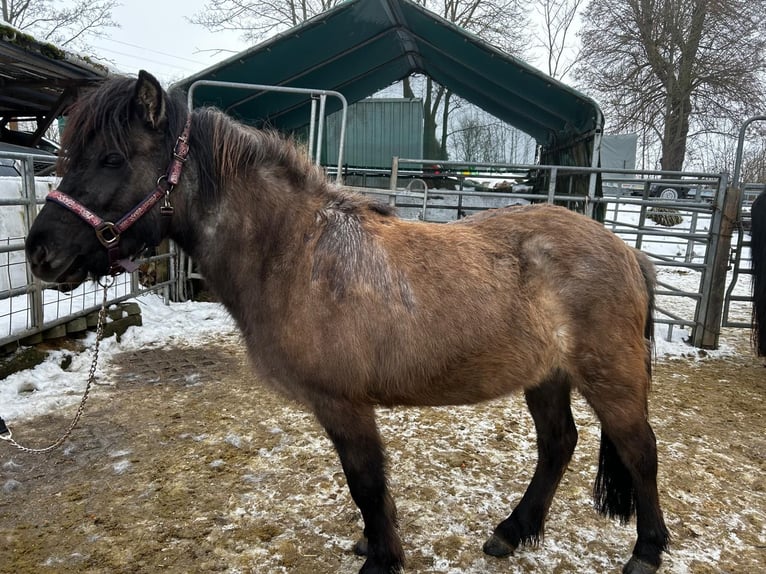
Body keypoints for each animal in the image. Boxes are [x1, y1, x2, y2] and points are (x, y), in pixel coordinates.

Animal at [25, 71, 669, 574]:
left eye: (112, 158)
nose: (39, 254)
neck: (296, 252)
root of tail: (625, 251)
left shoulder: (344, 404)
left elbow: (366, 482)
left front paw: (382, 558)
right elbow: (366, 489)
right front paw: (371, 545)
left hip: (610, 377)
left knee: (640, 449)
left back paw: (646, 552)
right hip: (547, 376)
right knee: (558, 444)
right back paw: (512, 532)